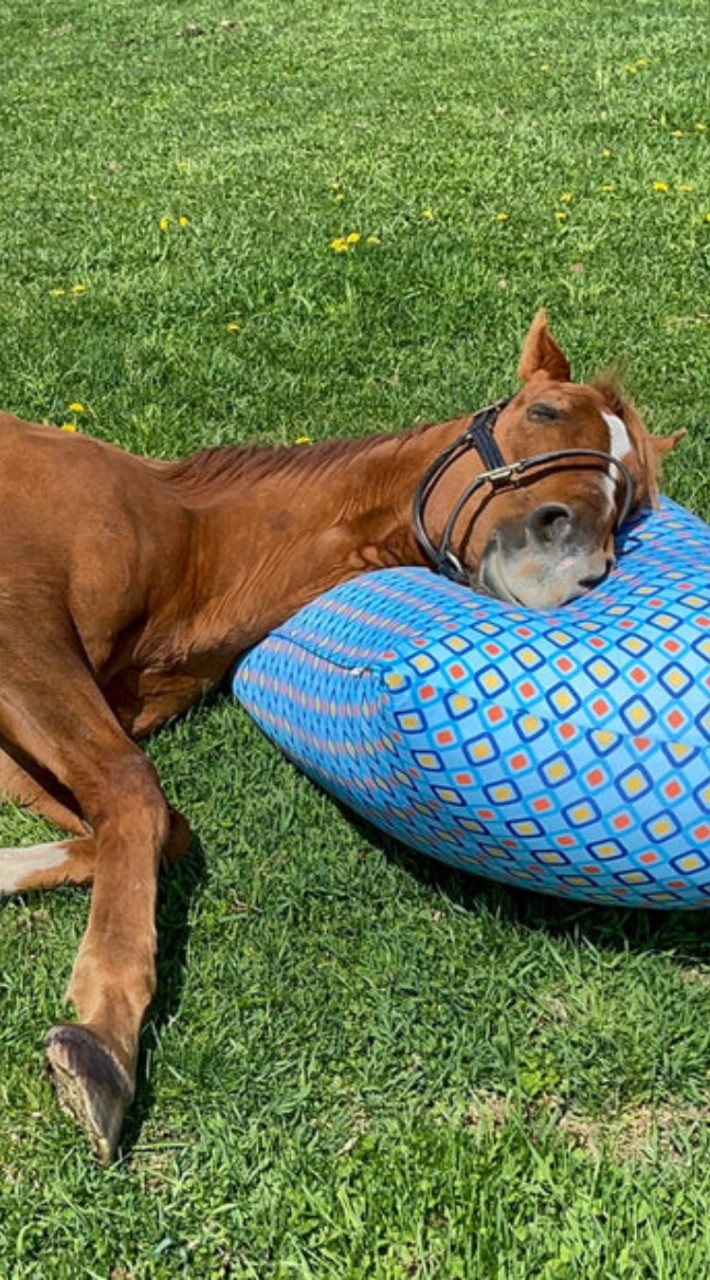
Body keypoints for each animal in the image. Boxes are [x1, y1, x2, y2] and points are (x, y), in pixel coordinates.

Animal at [0, 312, 680, 1162]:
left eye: (627, 500)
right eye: (544, 411)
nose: (574, 563)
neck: (189, 545)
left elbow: (157, 828)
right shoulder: (23, 630)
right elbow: (136, 792)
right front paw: (103, 1043)